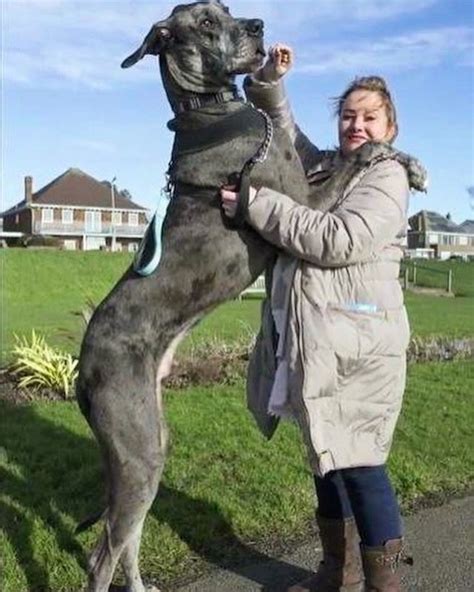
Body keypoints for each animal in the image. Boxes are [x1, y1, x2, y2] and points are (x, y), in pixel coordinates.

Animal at [75, 1, 310, 592]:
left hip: (150, 447)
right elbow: (352, 162)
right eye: (204, 23)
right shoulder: (301, 201)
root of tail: (80, 372)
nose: (258, 26)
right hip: (137, 456)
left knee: (128, 538)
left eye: (225, 10)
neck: (208, 109)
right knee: (102, 553)